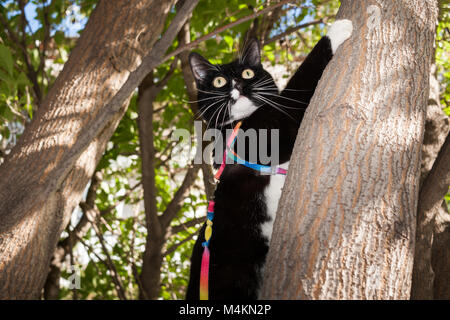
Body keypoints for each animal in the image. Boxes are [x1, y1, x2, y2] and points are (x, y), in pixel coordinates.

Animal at [185, 20, 352, 300]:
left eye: (248, 73)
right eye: (219, 81)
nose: (238, 86)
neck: (240, 123)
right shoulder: (268, 133)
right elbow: (296, 87)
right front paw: (336, 30)